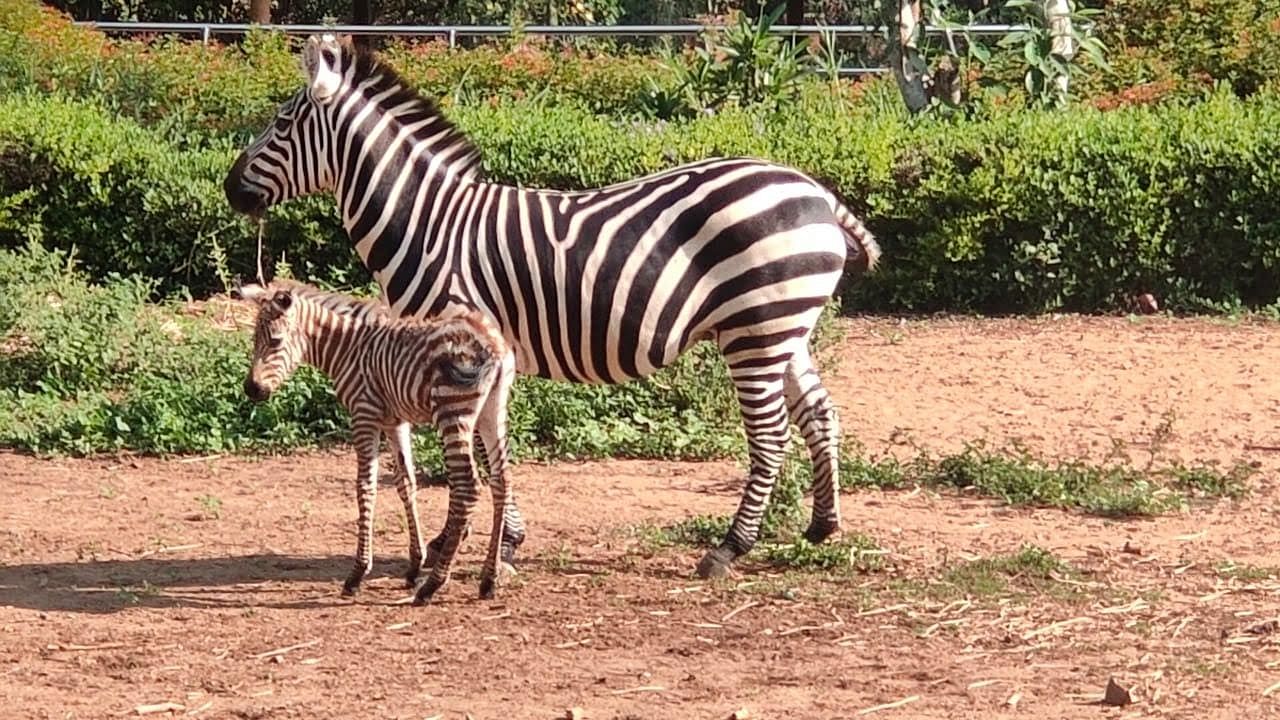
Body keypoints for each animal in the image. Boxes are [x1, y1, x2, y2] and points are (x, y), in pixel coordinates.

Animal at [238, 278, 517, 602]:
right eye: (254, 340)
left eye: (276, 341)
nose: (251, 390)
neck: (347, 347)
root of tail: (491, 343)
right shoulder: (395, 421)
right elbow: (406, 482)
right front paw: (413, 565)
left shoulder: (364, 414)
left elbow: (365, 487)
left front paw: (358, 573)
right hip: (492, 411)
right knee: (501, 481)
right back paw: (488, 580)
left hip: (453, 411)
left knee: (467, 487)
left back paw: (433, 585)